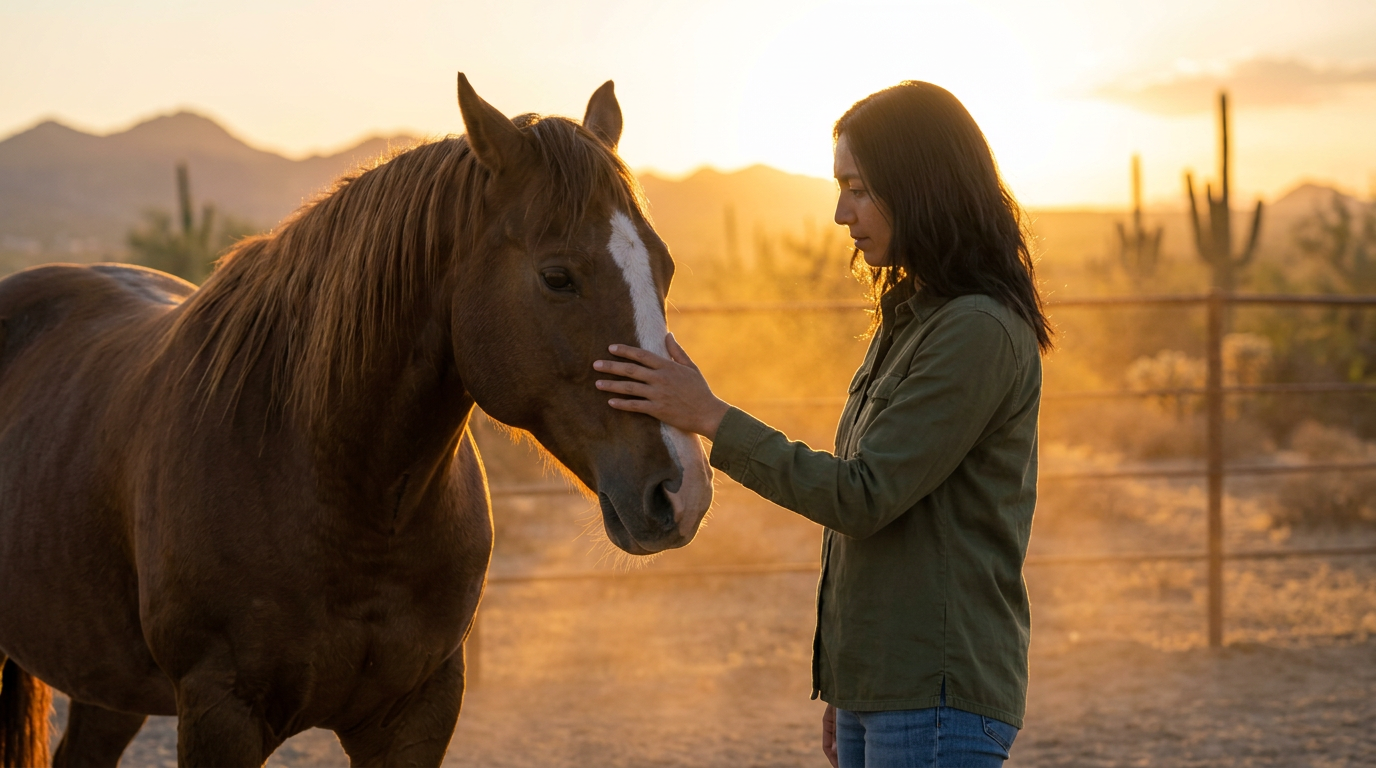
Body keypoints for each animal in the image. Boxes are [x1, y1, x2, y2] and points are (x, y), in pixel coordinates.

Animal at [0, 74, 713, 767]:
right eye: (558, 276)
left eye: (666, 268)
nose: (682, 490)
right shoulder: (219, 713)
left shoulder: (418, 712)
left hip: (105, 680)